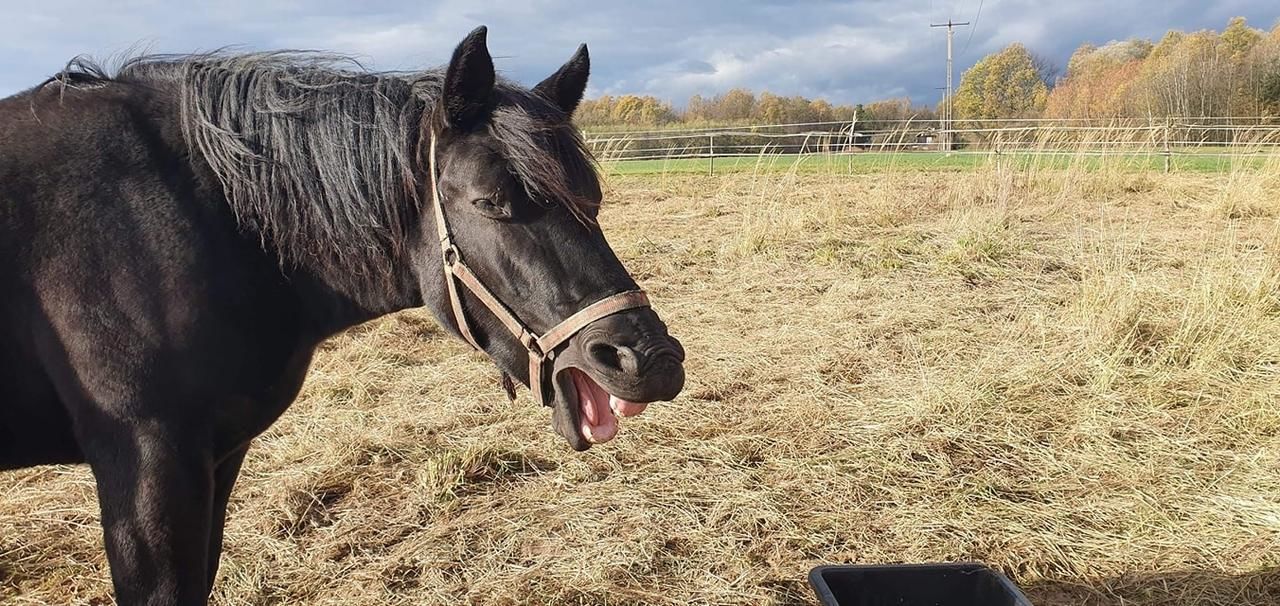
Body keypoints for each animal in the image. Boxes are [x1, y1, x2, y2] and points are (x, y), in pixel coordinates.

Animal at [0, 25, 686, 602]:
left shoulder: (216, 456)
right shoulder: (147, 460)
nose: (650, 360)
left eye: (592, 199)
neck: (208, 216)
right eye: (491, 201)